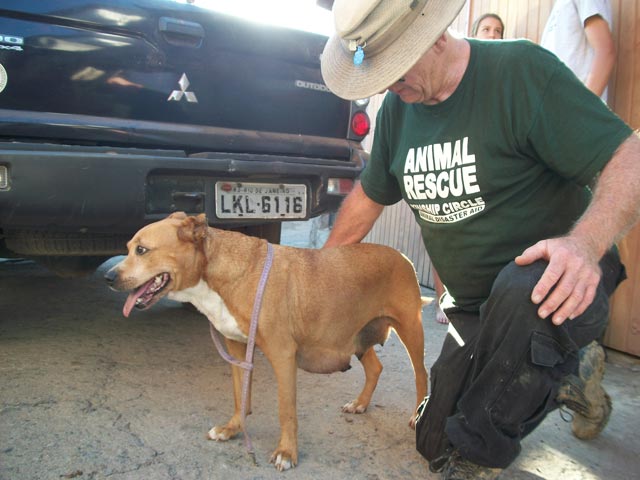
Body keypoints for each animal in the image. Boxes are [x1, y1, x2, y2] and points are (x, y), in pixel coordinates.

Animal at [105, 212, 430, 470]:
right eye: (128, 249)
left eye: (142, 250)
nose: (108, 278)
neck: (220, 275)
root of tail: (402, 256)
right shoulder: (237, 349)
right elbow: (240, 397)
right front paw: (233, 429)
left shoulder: (282, 354)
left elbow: (286, 410)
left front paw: (287, 452)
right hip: (358, 336)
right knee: (375, 368)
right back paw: (361, 404)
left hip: (411, 331)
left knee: (421, 375)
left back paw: (417, 416)